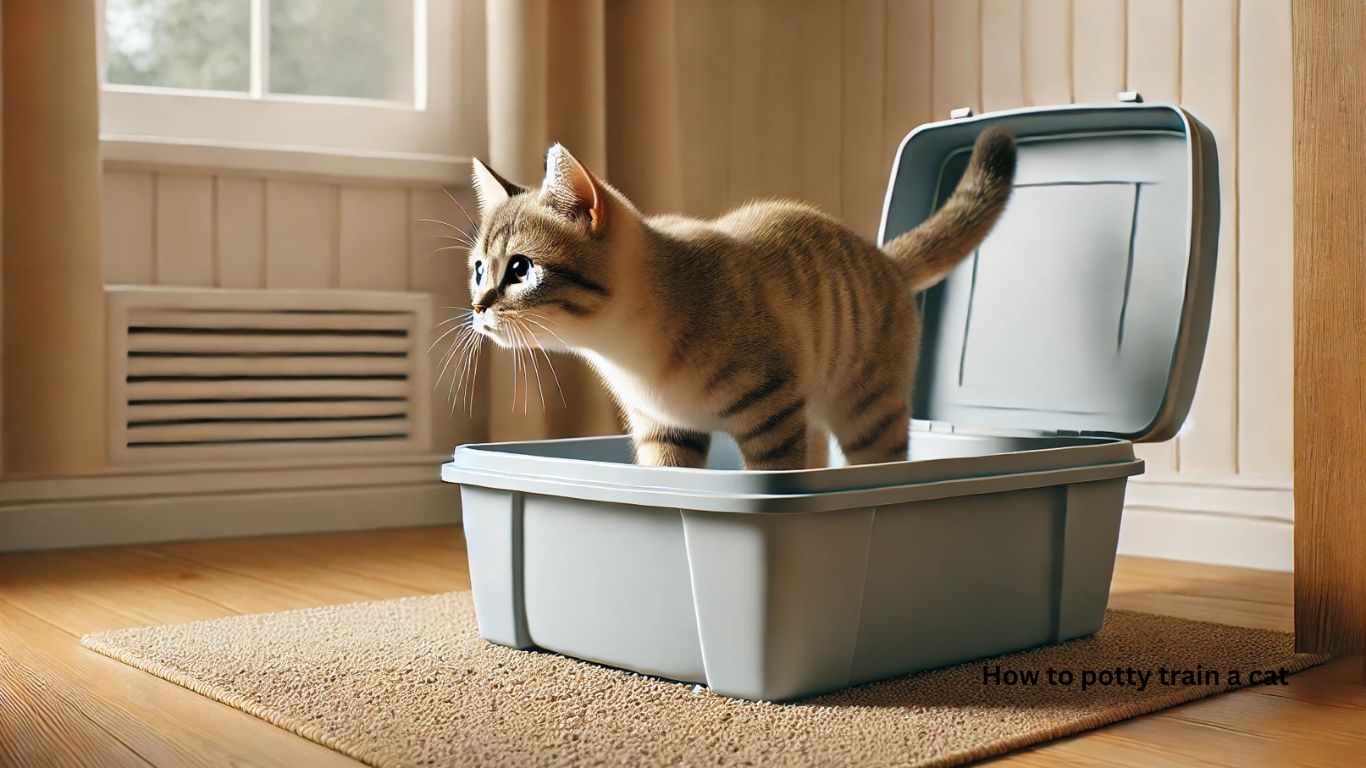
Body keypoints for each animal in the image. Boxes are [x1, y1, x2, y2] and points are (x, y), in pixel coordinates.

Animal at [467, 126, 1016, 470]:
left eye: (520, 268)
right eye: (478, 270)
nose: (477, 307)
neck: (625, 351)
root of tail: (886, 258)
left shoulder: (773, 418)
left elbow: (774, 480)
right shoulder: (665, 433)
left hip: (867, 415)